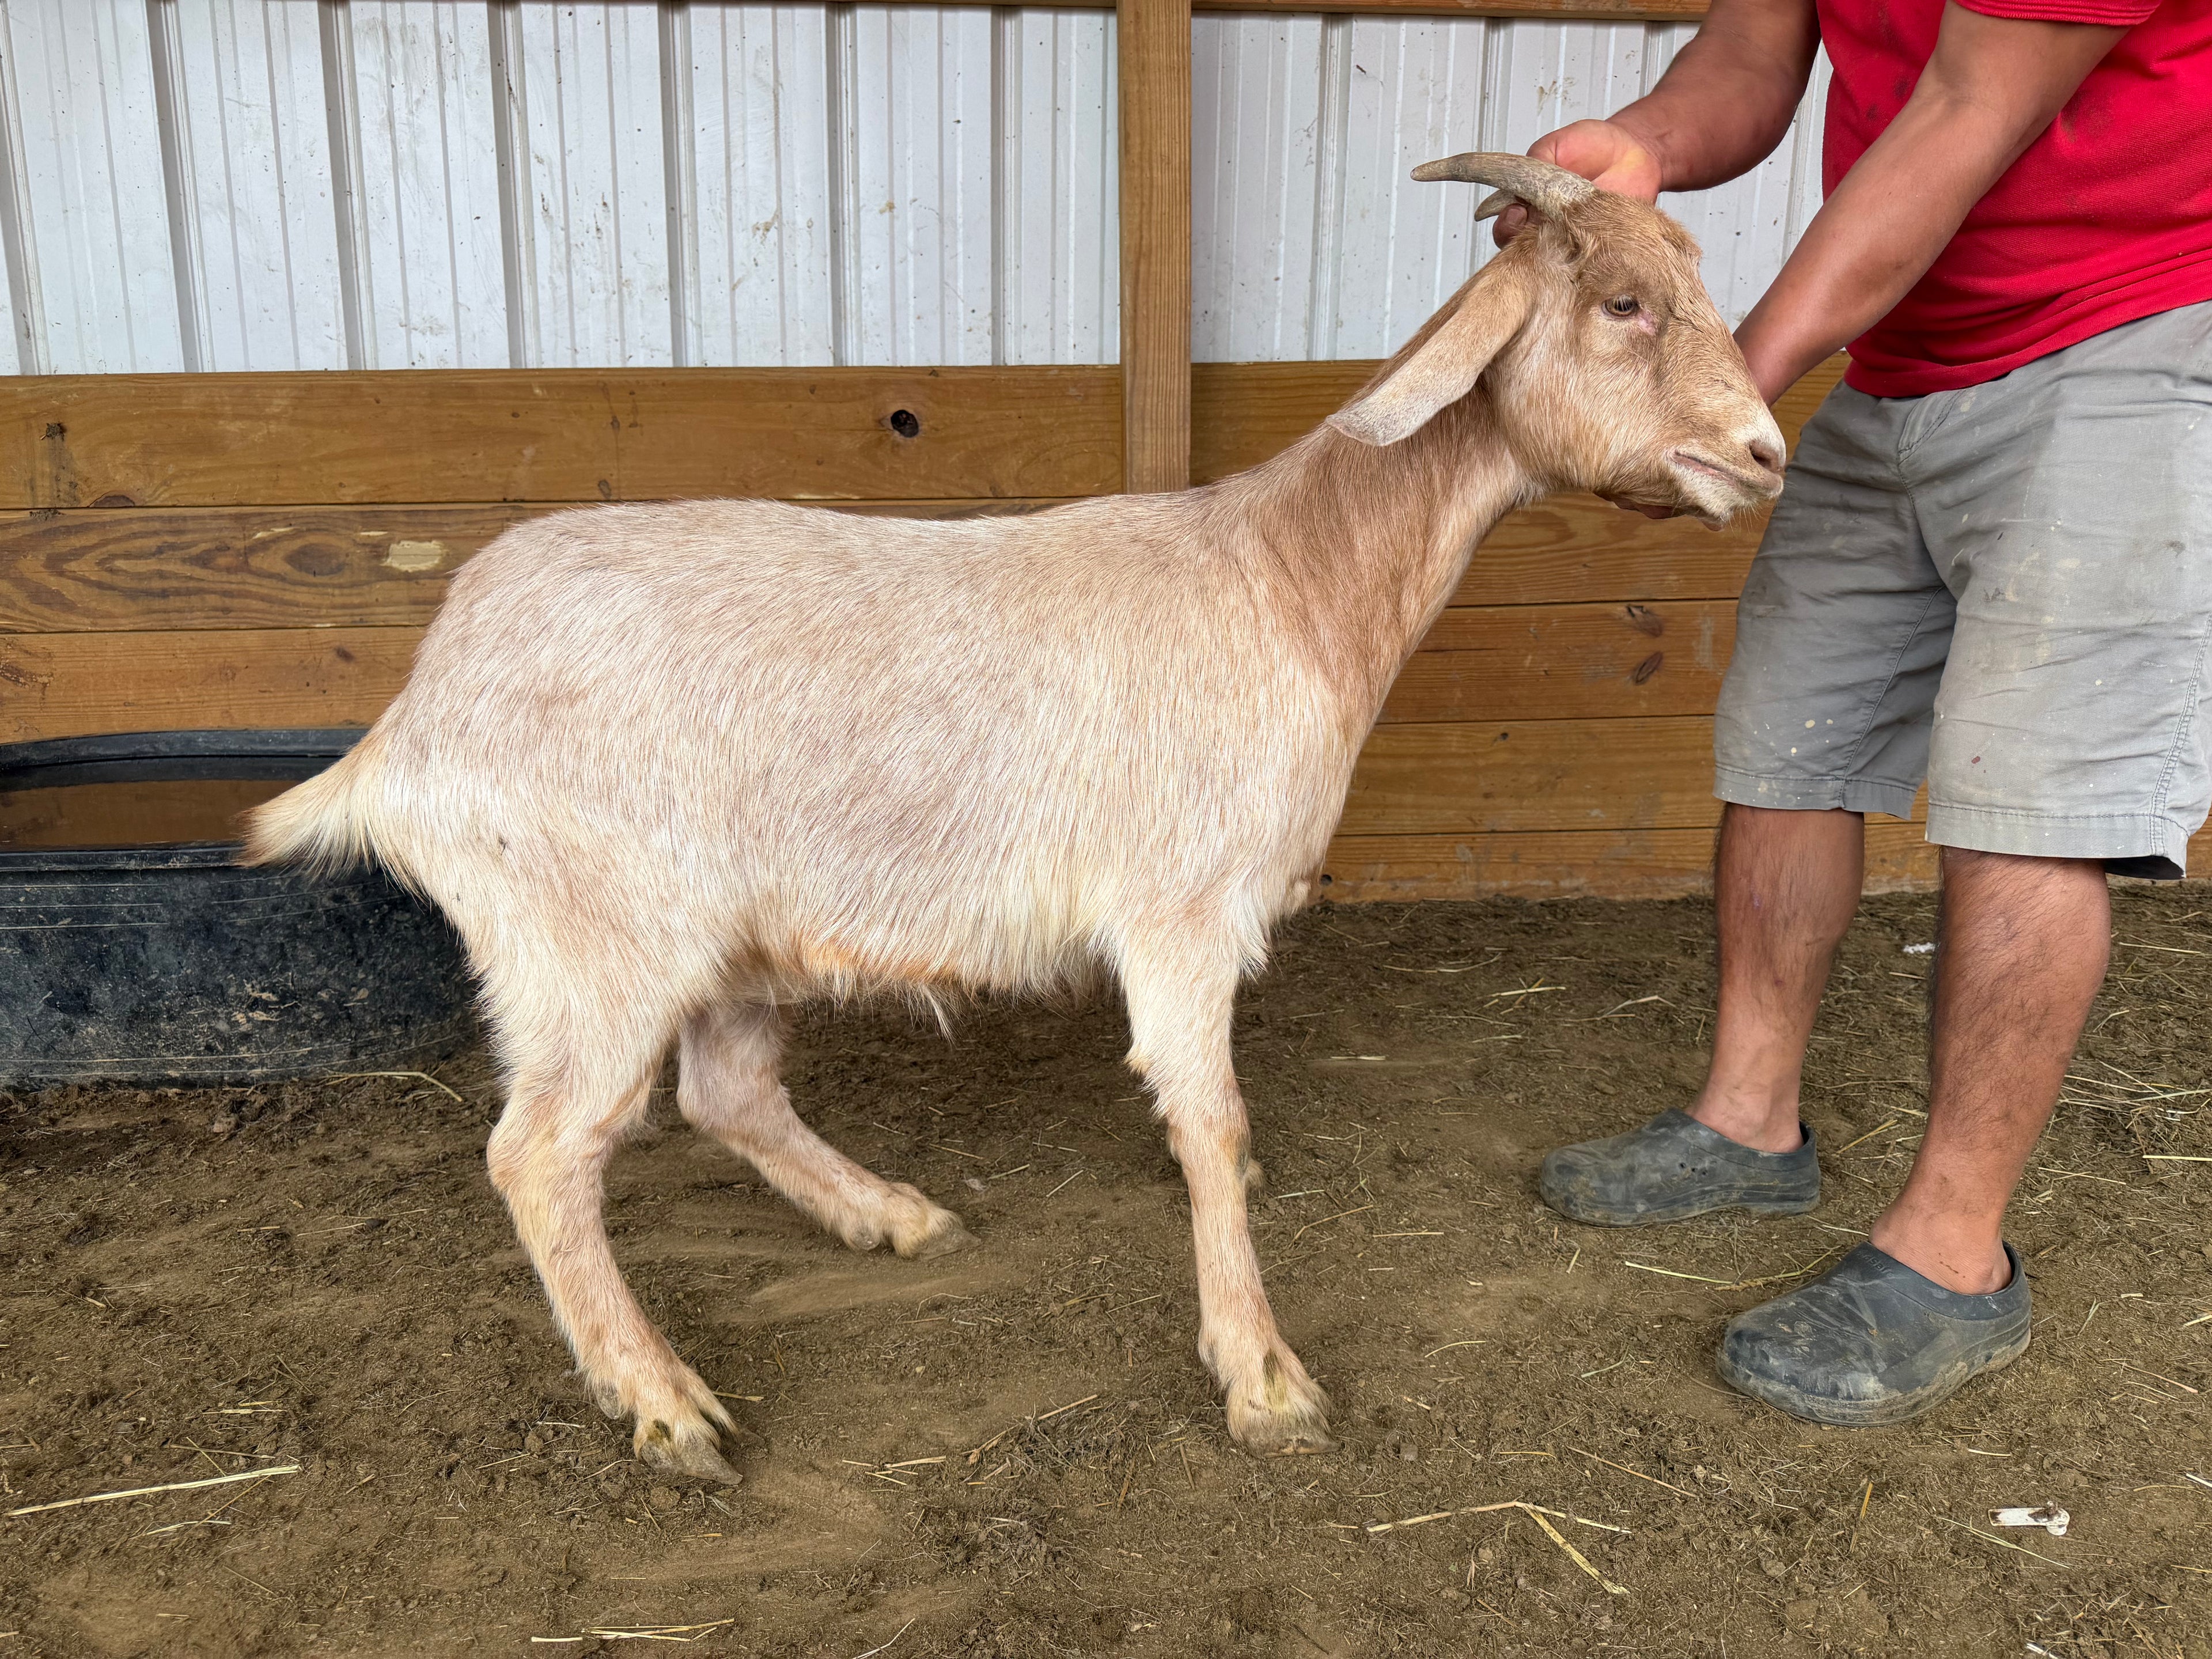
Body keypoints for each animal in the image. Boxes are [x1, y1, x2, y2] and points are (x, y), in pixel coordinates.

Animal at [246, 155, 1786, 1482]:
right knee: (543, 1152)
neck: (1291, 578)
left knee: (722, 1093)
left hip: (727, 935)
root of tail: (415, 720)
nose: (1765, 452)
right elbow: (1208, 1119)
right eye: (1622, 303)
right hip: (589, 937)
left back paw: (887, 1215)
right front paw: (1261, 1374)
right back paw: (664, 1400)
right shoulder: (1180, 909)